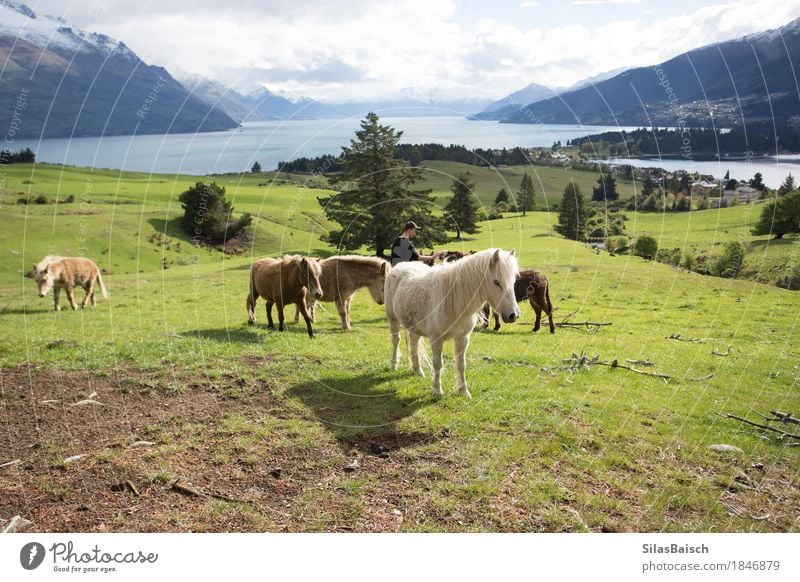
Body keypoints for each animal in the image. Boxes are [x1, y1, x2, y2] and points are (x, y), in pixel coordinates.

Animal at [384, 249, 520, 400]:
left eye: (513, 282)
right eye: (496, 282)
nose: (513, 315)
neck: (453, 301)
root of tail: (399, 266)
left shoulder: (463, 338)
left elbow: (461, 364)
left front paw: (463, 391)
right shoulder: (436, 339)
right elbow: (438, 364)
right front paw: (437, 390)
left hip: (414, 325)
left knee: (413, 343)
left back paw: (418, 370)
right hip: (392, 318)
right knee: (395, 340)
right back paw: (393, 365)